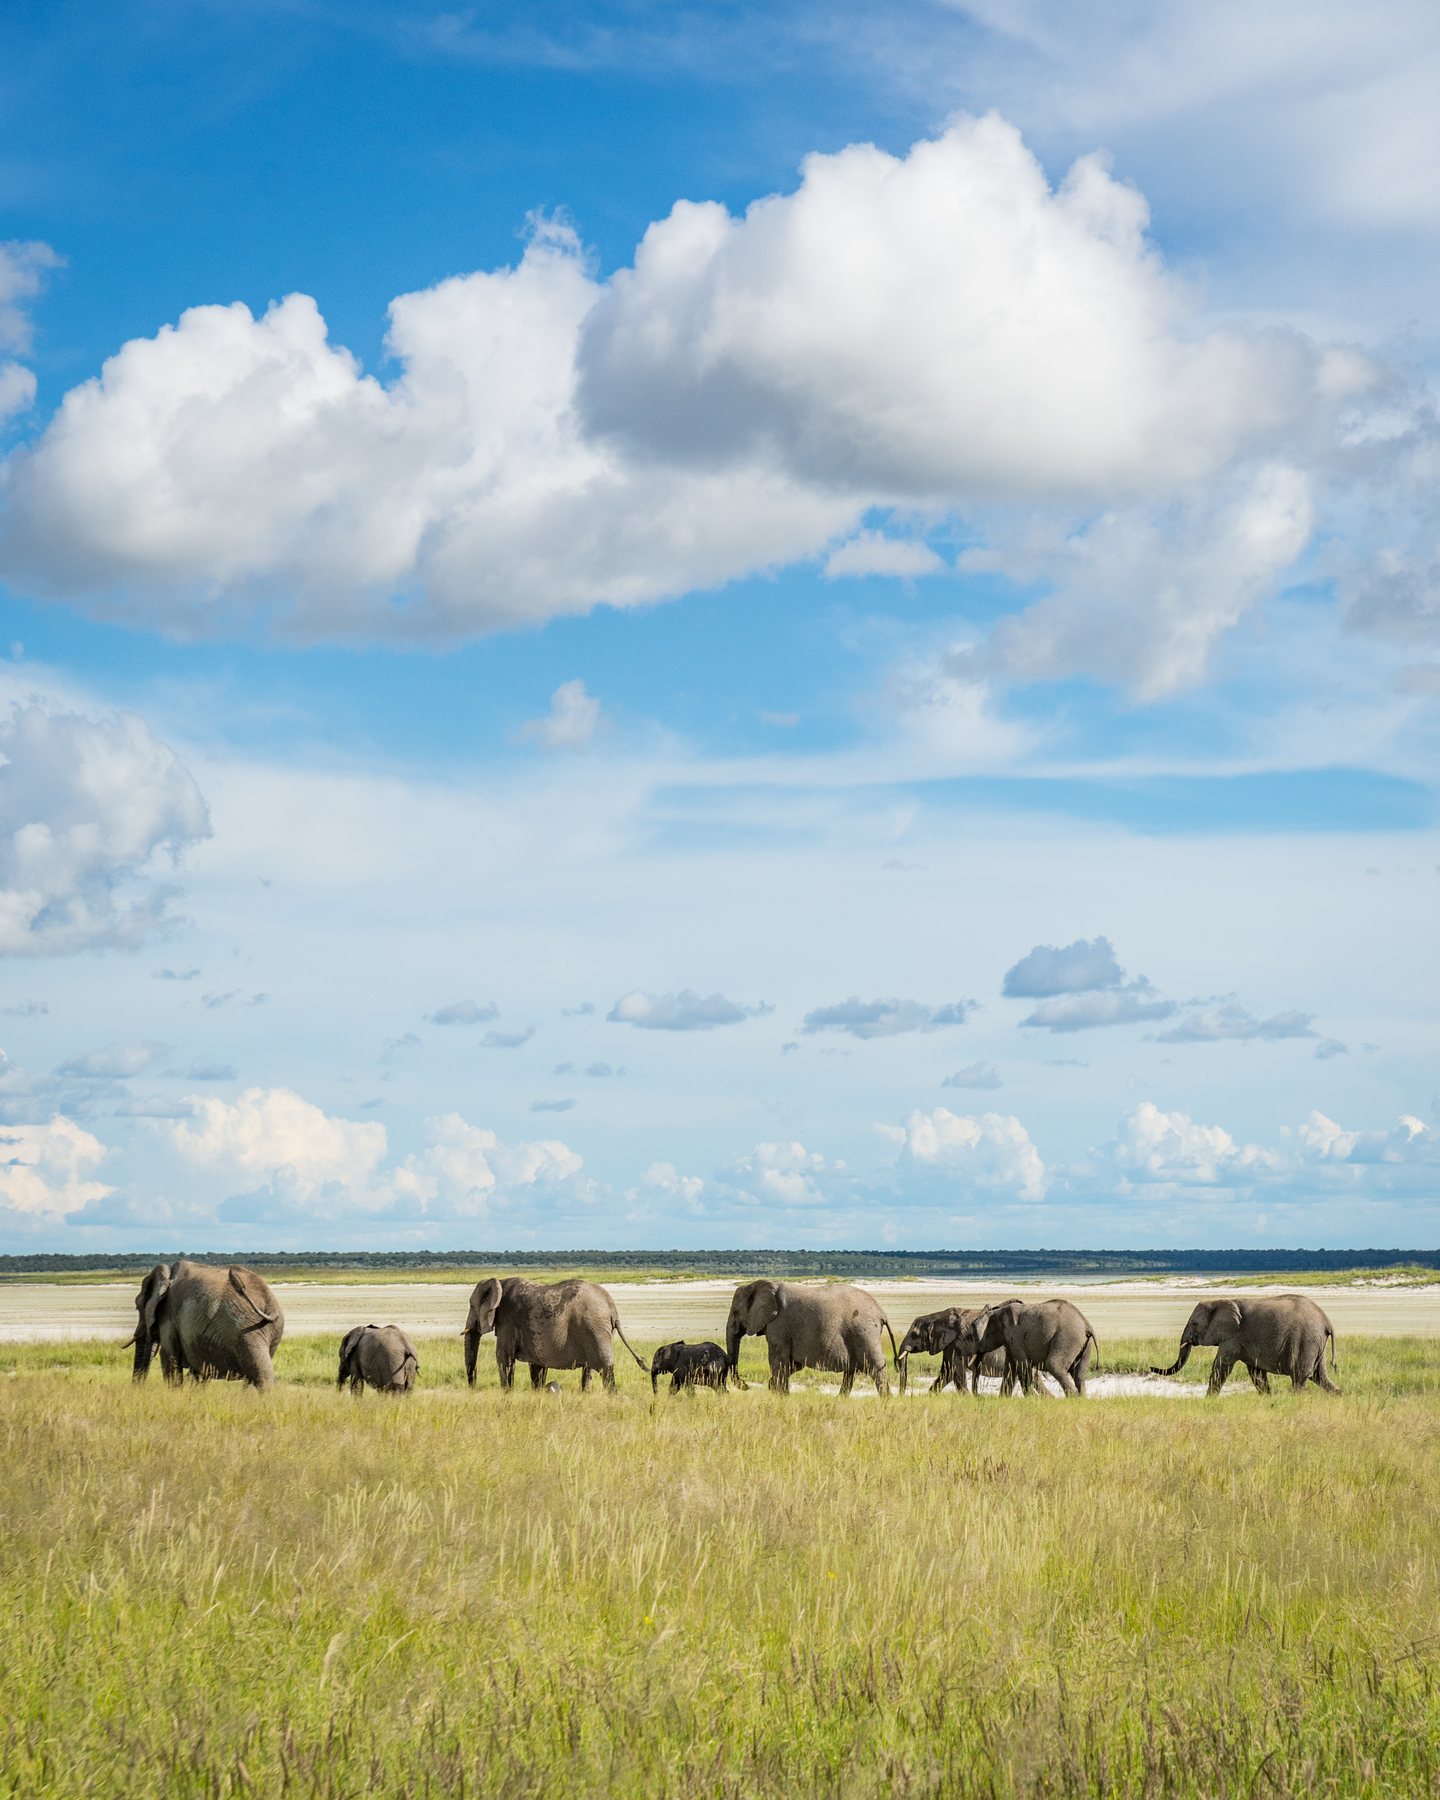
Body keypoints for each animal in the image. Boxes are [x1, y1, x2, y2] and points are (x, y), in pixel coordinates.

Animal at [128, 1259, 284, 1390]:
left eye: (138, 1307)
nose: (137, 1390)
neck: (167, 1275)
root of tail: (269, 1303)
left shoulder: (168, 1314)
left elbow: (169, 1357)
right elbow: (199, 1369)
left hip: (243, 1327)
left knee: (261, 1375)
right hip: (267, 1329)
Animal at [463, 1277, 648, 1392]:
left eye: (472, 1306)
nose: (472, 1387)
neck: (500, 1282)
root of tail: (612, 1307)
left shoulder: (508, 1321)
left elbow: (504, 1358)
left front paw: (507, 1393)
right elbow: (537, 1366)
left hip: (594, 1328)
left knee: (605, 1368)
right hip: (596, 1330)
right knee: (589, 1369)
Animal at [725, 1279, 900, 1395]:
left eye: (735, 1312)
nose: (745, 1385)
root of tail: (881, 1312)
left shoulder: (778, 1325)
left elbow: (778, 1360)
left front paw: (779, 1394)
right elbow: (793, 1364)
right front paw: (776, 1389)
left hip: (865, 1333)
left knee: (875, 1367)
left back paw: (886, 1400)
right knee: (851, 1371)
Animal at [963, 1298, 1097, 1398]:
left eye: (974, 1332)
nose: (979, 1396)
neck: (997, 1312)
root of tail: (1087, 1325)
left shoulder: (1014, 1336)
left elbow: (1022, 1366)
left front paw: (1031, 1399)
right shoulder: (1010, 1340)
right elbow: (1010, 1367)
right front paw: (1003, 1399)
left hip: (1066, 1339)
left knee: (1054, 1365)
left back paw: (1073, 1398)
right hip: (1084, 1344)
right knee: (1079, 1374)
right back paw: (1081, 1399)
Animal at [1152, 1294, 1340, 1394]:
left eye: (1194, 1323)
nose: (1150, 1368)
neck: (1221, 1300)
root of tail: (1327, 1322)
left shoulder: (1233, 1337)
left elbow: (1221, 1366)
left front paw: (1207, 1401)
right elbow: (1256, 1373)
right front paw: (1269, 1399)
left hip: (1306, 1341)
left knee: (1299, 1377)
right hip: (1315, 1343)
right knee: (1319, 1376)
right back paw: (1341, 1396)